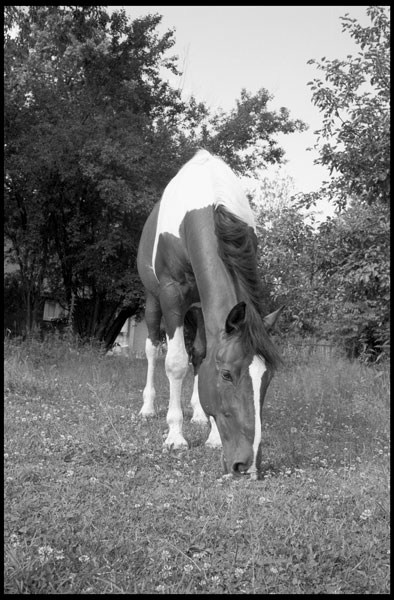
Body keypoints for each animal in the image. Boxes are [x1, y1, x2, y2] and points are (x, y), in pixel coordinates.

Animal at [136, 150, 284, 478]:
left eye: (267, 378)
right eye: (227, 374)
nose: (247, 465)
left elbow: (202, 358)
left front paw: (213, 434)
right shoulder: (171, 294)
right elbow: (175, 363)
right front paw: (175, 436)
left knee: (199, 352)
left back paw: (199, 416)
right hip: (153, 300)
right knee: (152, 349)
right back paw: (147, 408)